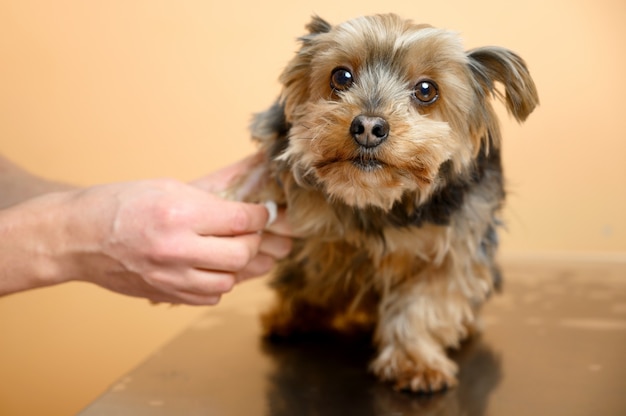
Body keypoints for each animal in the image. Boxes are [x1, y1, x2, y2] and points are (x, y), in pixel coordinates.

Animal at [229, 14, 536, 394]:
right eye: (341, 76)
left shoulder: (456, 247)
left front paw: (415, 363)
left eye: (426, 90)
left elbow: (424, 304)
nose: (368, 126)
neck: (375, 197)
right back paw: (290, 317)